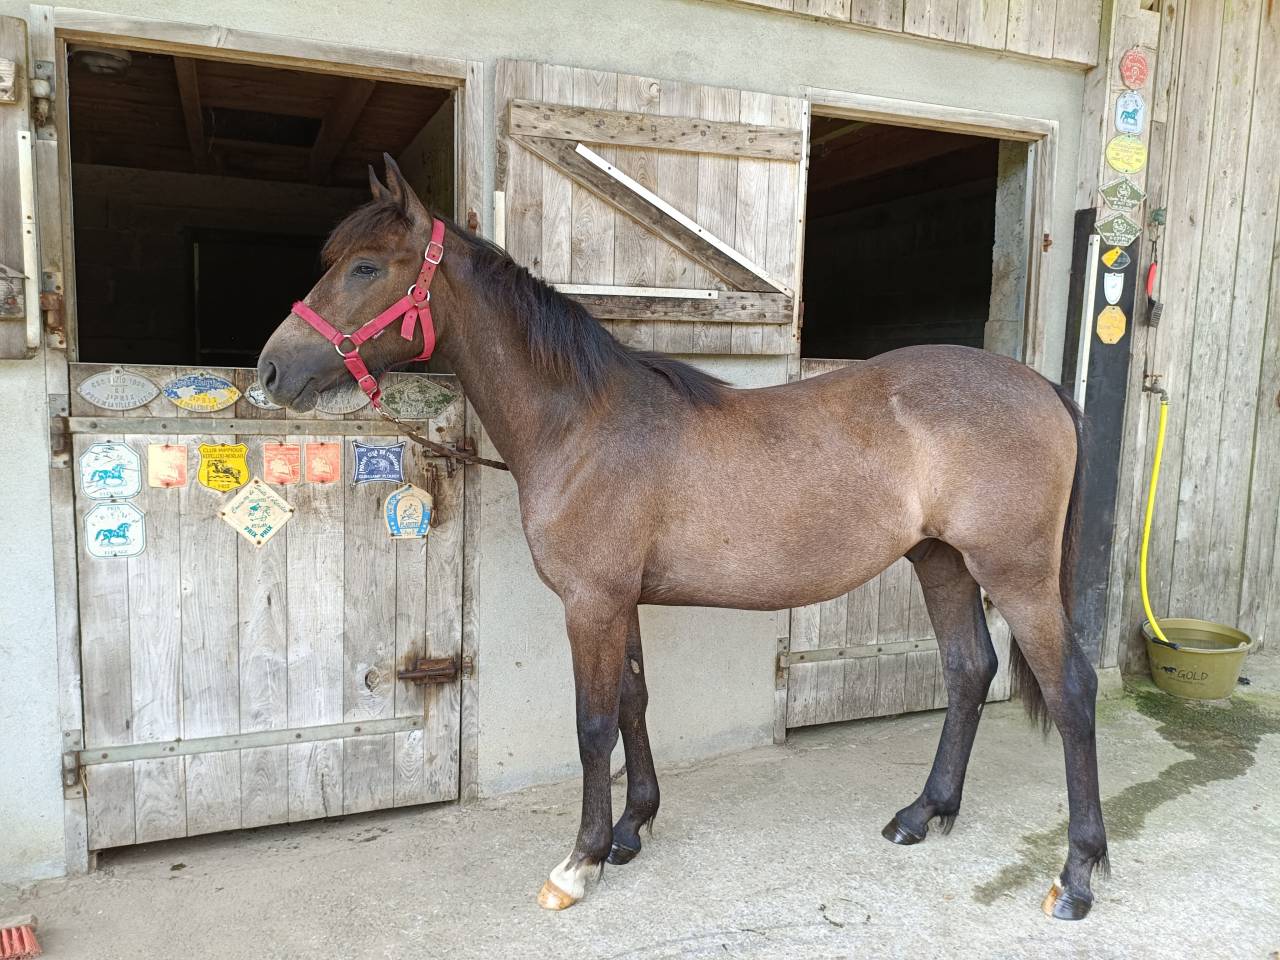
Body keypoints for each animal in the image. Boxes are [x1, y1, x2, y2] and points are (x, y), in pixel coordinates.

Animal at [257, 157, 1108, 921]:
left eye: (366, 265)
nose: (269, 372)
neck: (584, 422)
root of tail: (1039, 386)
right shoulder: (620, 600)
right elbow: (634, 702)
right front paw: (632, 828)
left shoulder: (591, 602)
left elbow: (593, 725)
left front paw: (580, 862)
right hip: (942, 561)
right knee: (969, 671)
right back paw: (922, 814)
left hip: (1018, 575)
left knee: (1070, 690)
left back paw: (1077, 876)